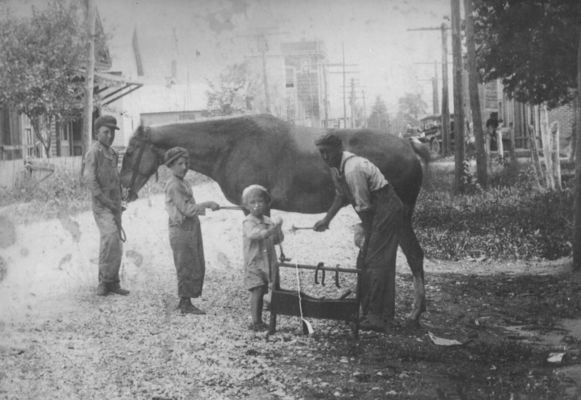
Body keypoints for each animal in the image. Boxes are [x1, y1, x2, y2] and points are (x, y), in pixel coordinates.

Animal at [119, 114, 426, 324]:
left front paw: (266, 297)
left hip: (398, 217)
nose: (124, 191)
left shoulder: (254, 209)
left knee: (412, 255)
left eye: (130, 152)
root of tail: (409, 147)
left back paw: (413, 313)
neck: (232, 145)